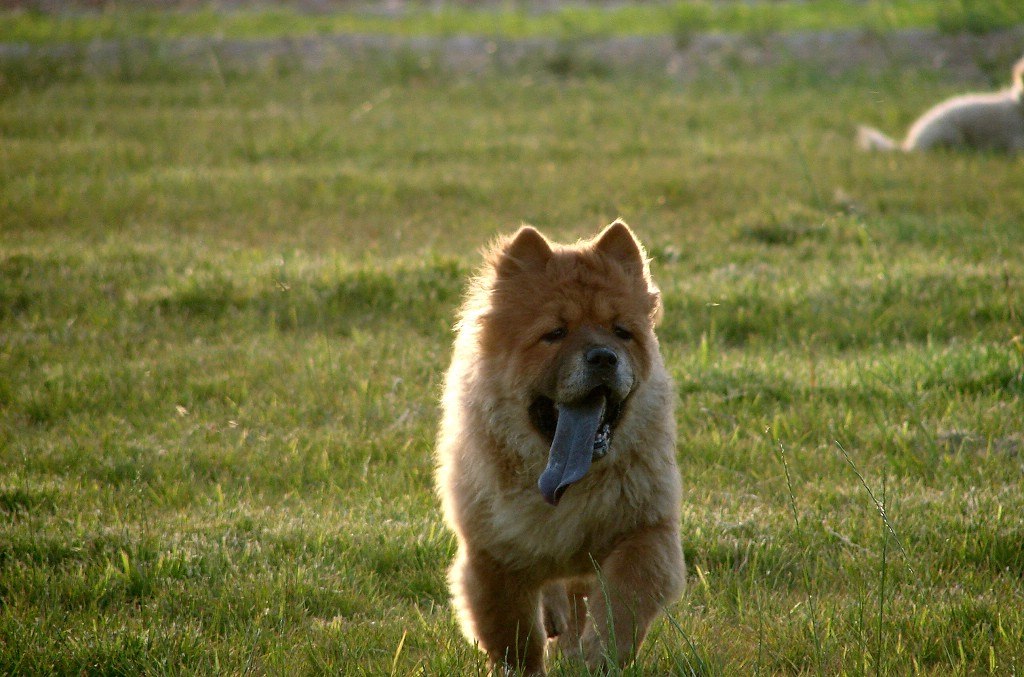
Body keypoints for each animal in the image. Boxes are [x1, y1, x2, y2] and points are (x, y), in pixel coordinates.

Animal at [434, 220, 684, 671]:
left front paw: (597, 658)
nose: (603, 357)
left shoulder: (647, 529)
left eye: (622, 332)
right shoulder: (492, 557)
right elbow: (514, 638)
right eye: (554, 334)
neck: (565, 484)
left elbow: (622, 605)